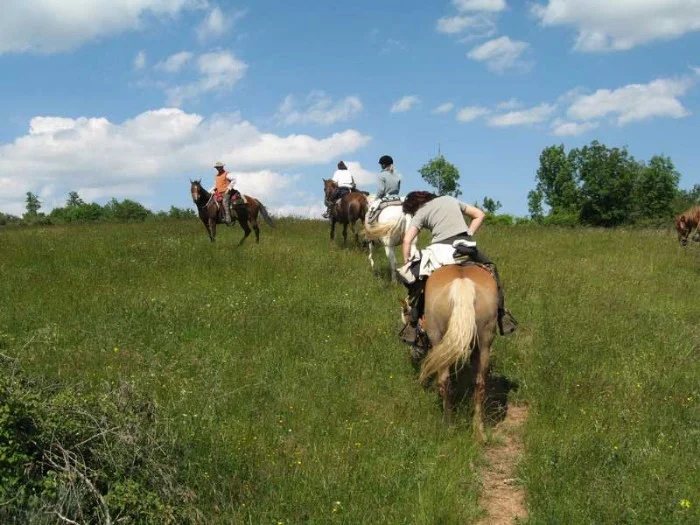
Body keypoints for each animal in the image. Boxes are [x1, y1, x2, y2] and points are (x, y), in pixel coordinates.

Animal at [400, 264, 498, 440]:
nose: (415, 355)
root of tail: (462, 284)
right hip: (485, 343)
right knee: (479, 384)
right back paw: (478, 432)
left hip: (437, 336)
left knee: (444, 382)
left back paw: (447, 424)